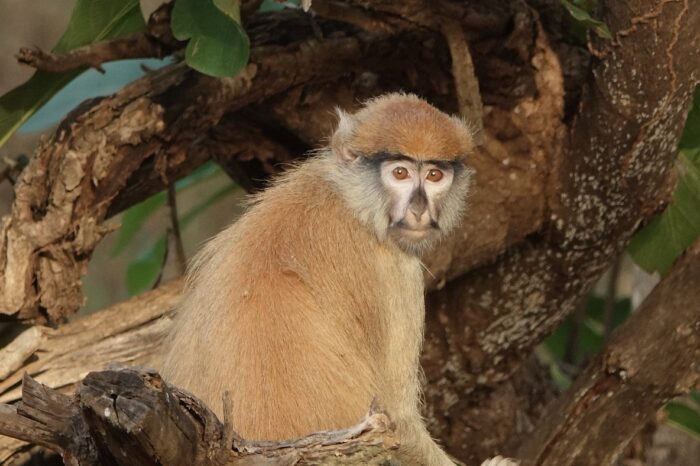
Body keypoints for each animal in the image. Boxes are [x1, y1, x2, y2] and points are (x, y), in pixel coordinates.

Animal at [160, 93, 518, 466]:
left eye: (435, 175)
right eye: (400, 173)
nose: (418, 210)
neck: (352, 201)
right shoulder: (395, 269)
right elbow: (400, 421)